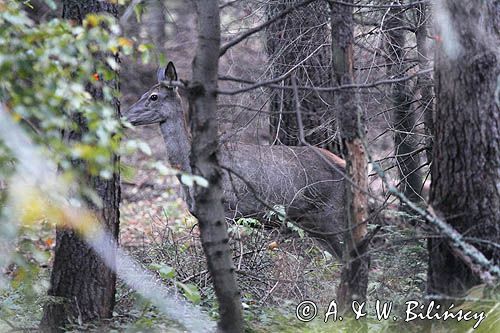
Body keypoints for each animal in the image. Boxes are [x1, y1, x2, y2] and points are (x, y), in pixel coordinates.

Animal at [124, 63, 348, 256]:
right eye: (144, 94)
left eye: (153, 96)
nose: (125, 116)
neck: (189, 174)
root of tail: (343, 164)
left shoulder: (228, 210)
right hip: (314, 223)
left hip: (331, 214)